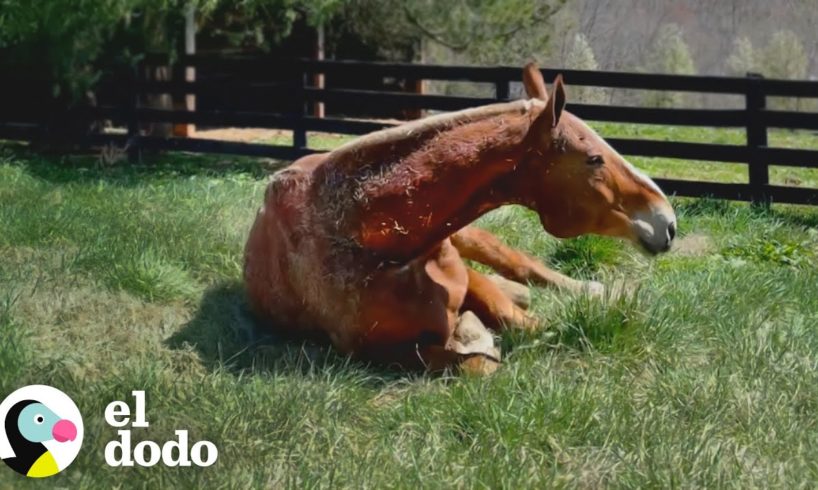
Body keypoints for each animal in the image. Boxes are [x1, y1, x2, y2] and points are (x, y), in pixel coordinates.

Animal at [244, 63, 676, 374]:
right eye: (594, 159)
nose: (667, 221)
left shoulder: (465, 274)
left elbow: (518, 319)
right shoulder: (369, 350)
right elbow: (477, 360)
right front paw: (474, 334)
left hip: (471, 237)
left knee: (521, 265)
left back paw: (590, 289)